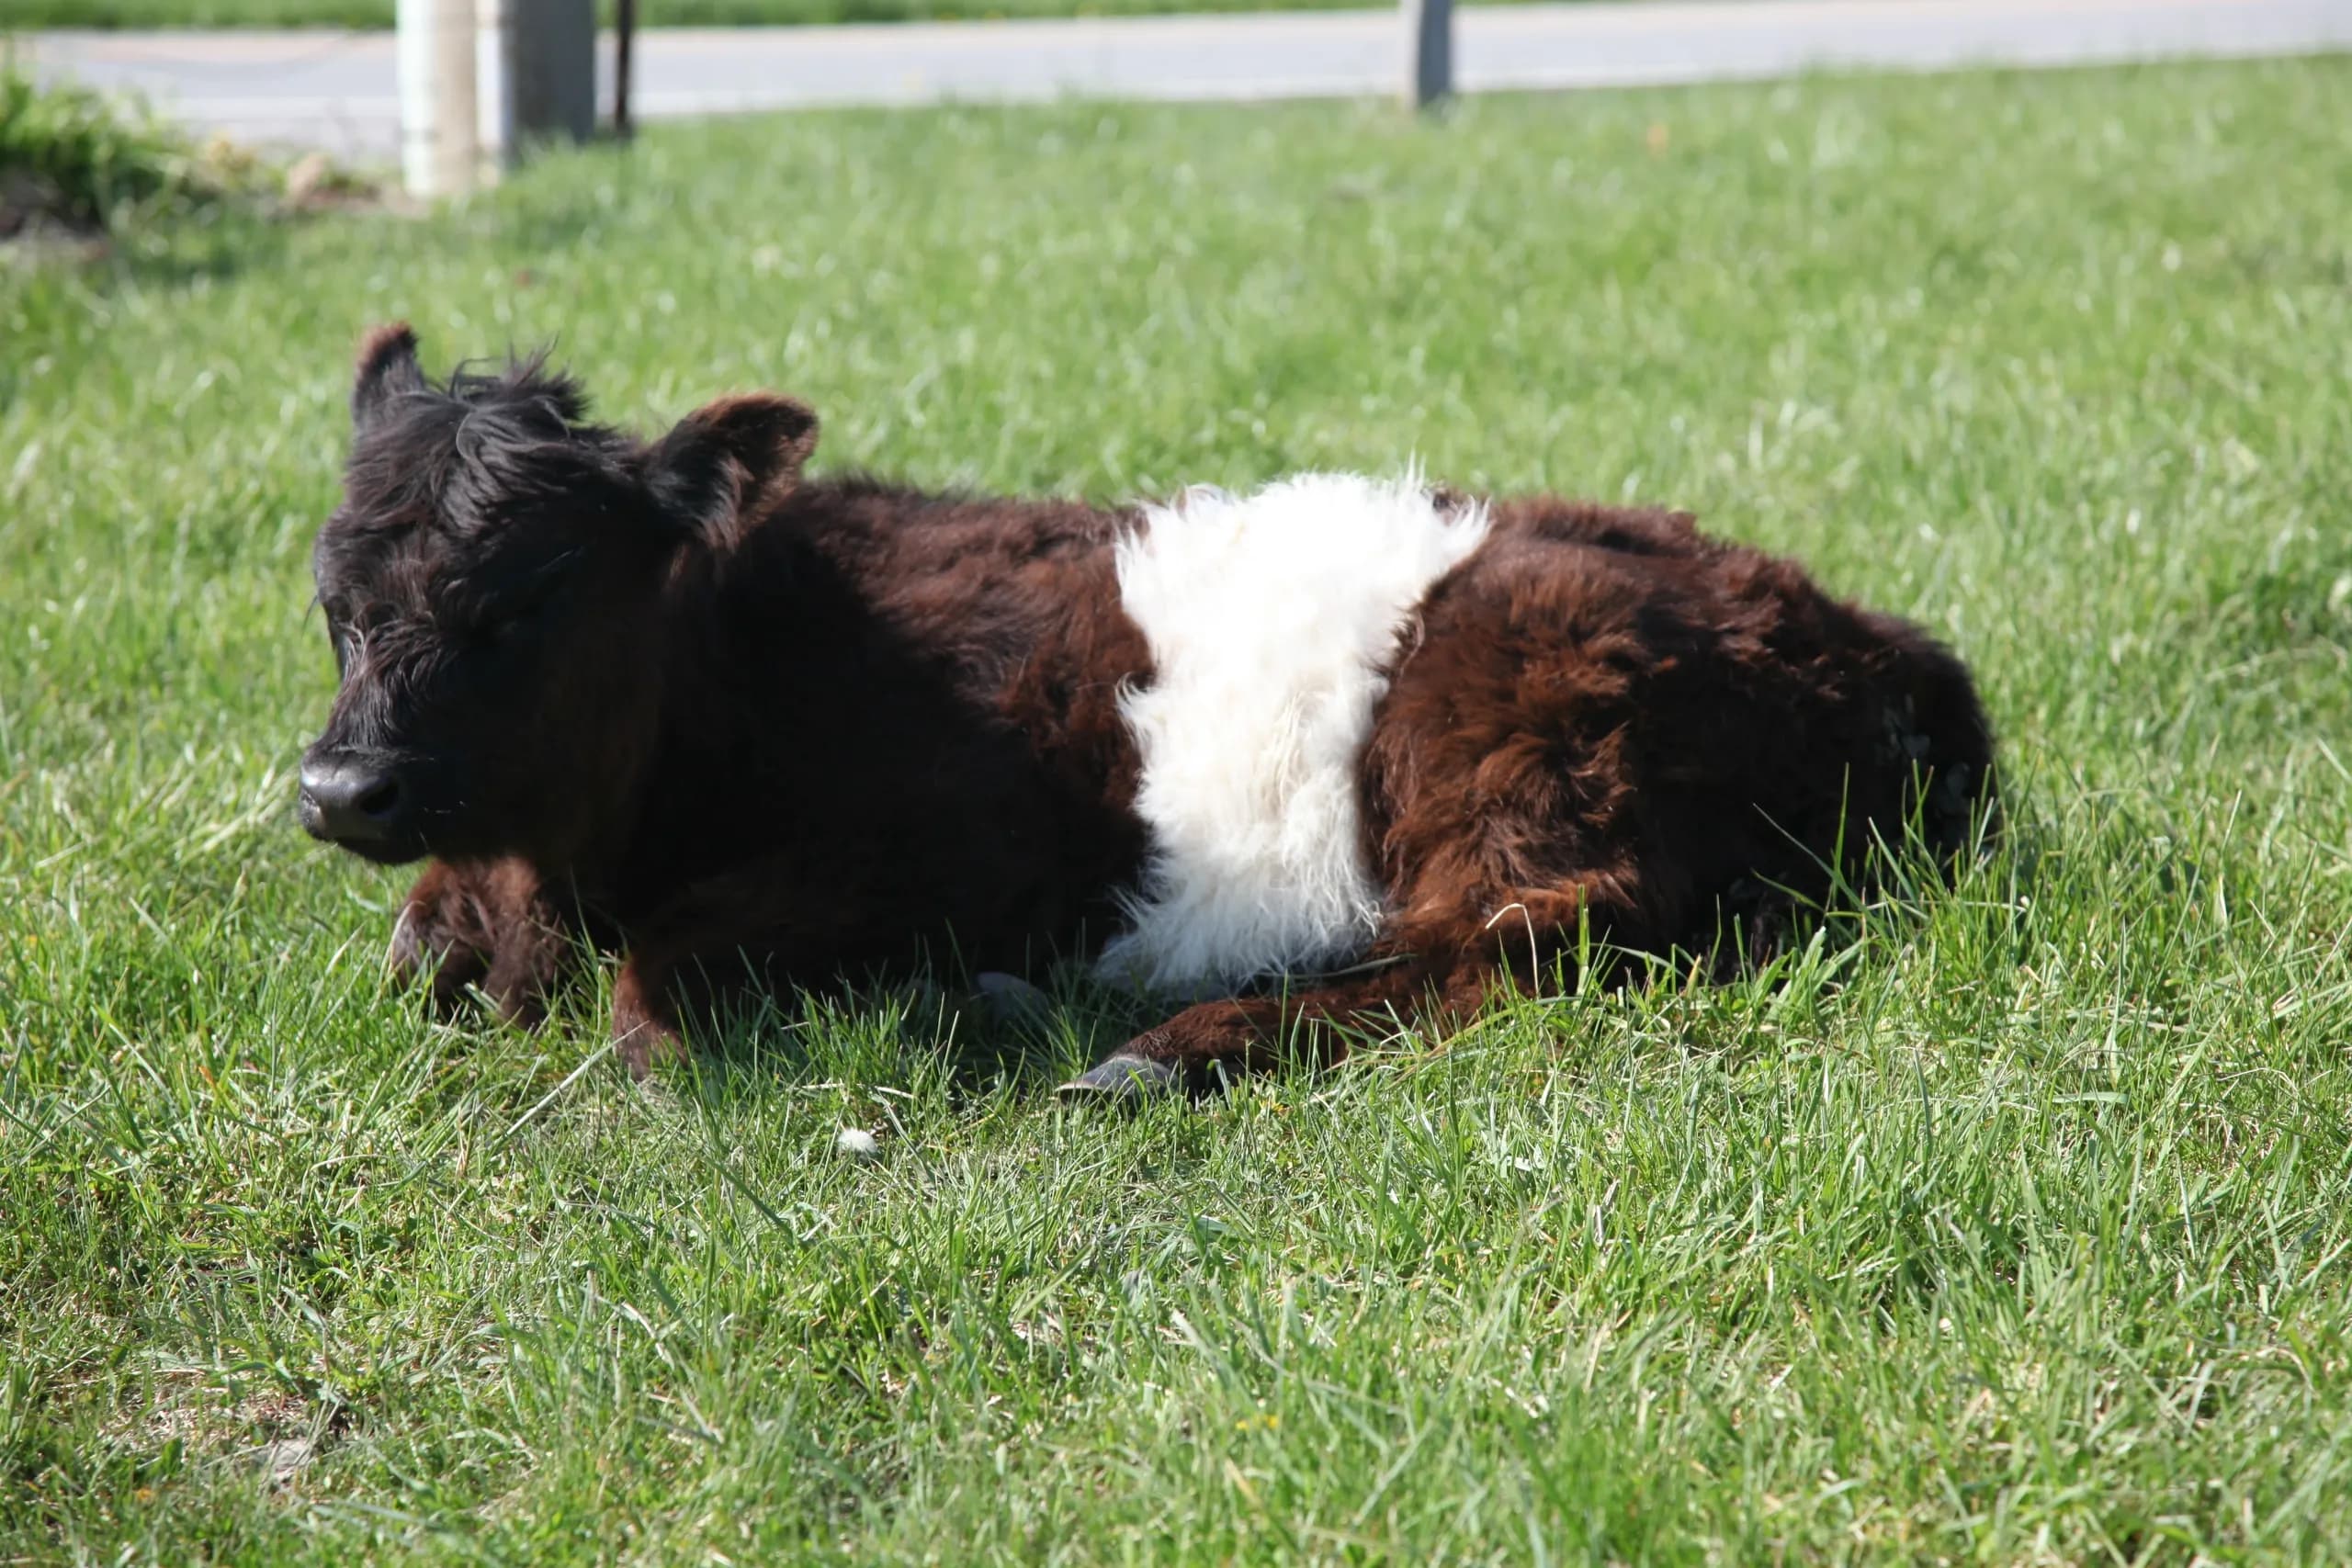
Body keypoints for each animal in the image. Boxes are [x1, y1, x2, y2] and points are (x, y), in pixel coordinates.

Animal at [298, 326, 1995, 1099]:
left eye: (529, 599)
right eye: (333, 596)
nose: (340, 787)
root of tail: (1852, 624)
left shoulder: (936, 859)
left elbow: (651, 992)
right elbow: (411, 948)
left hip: (1510, 750)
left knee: (1514, 951)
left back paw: (1151, 1050)